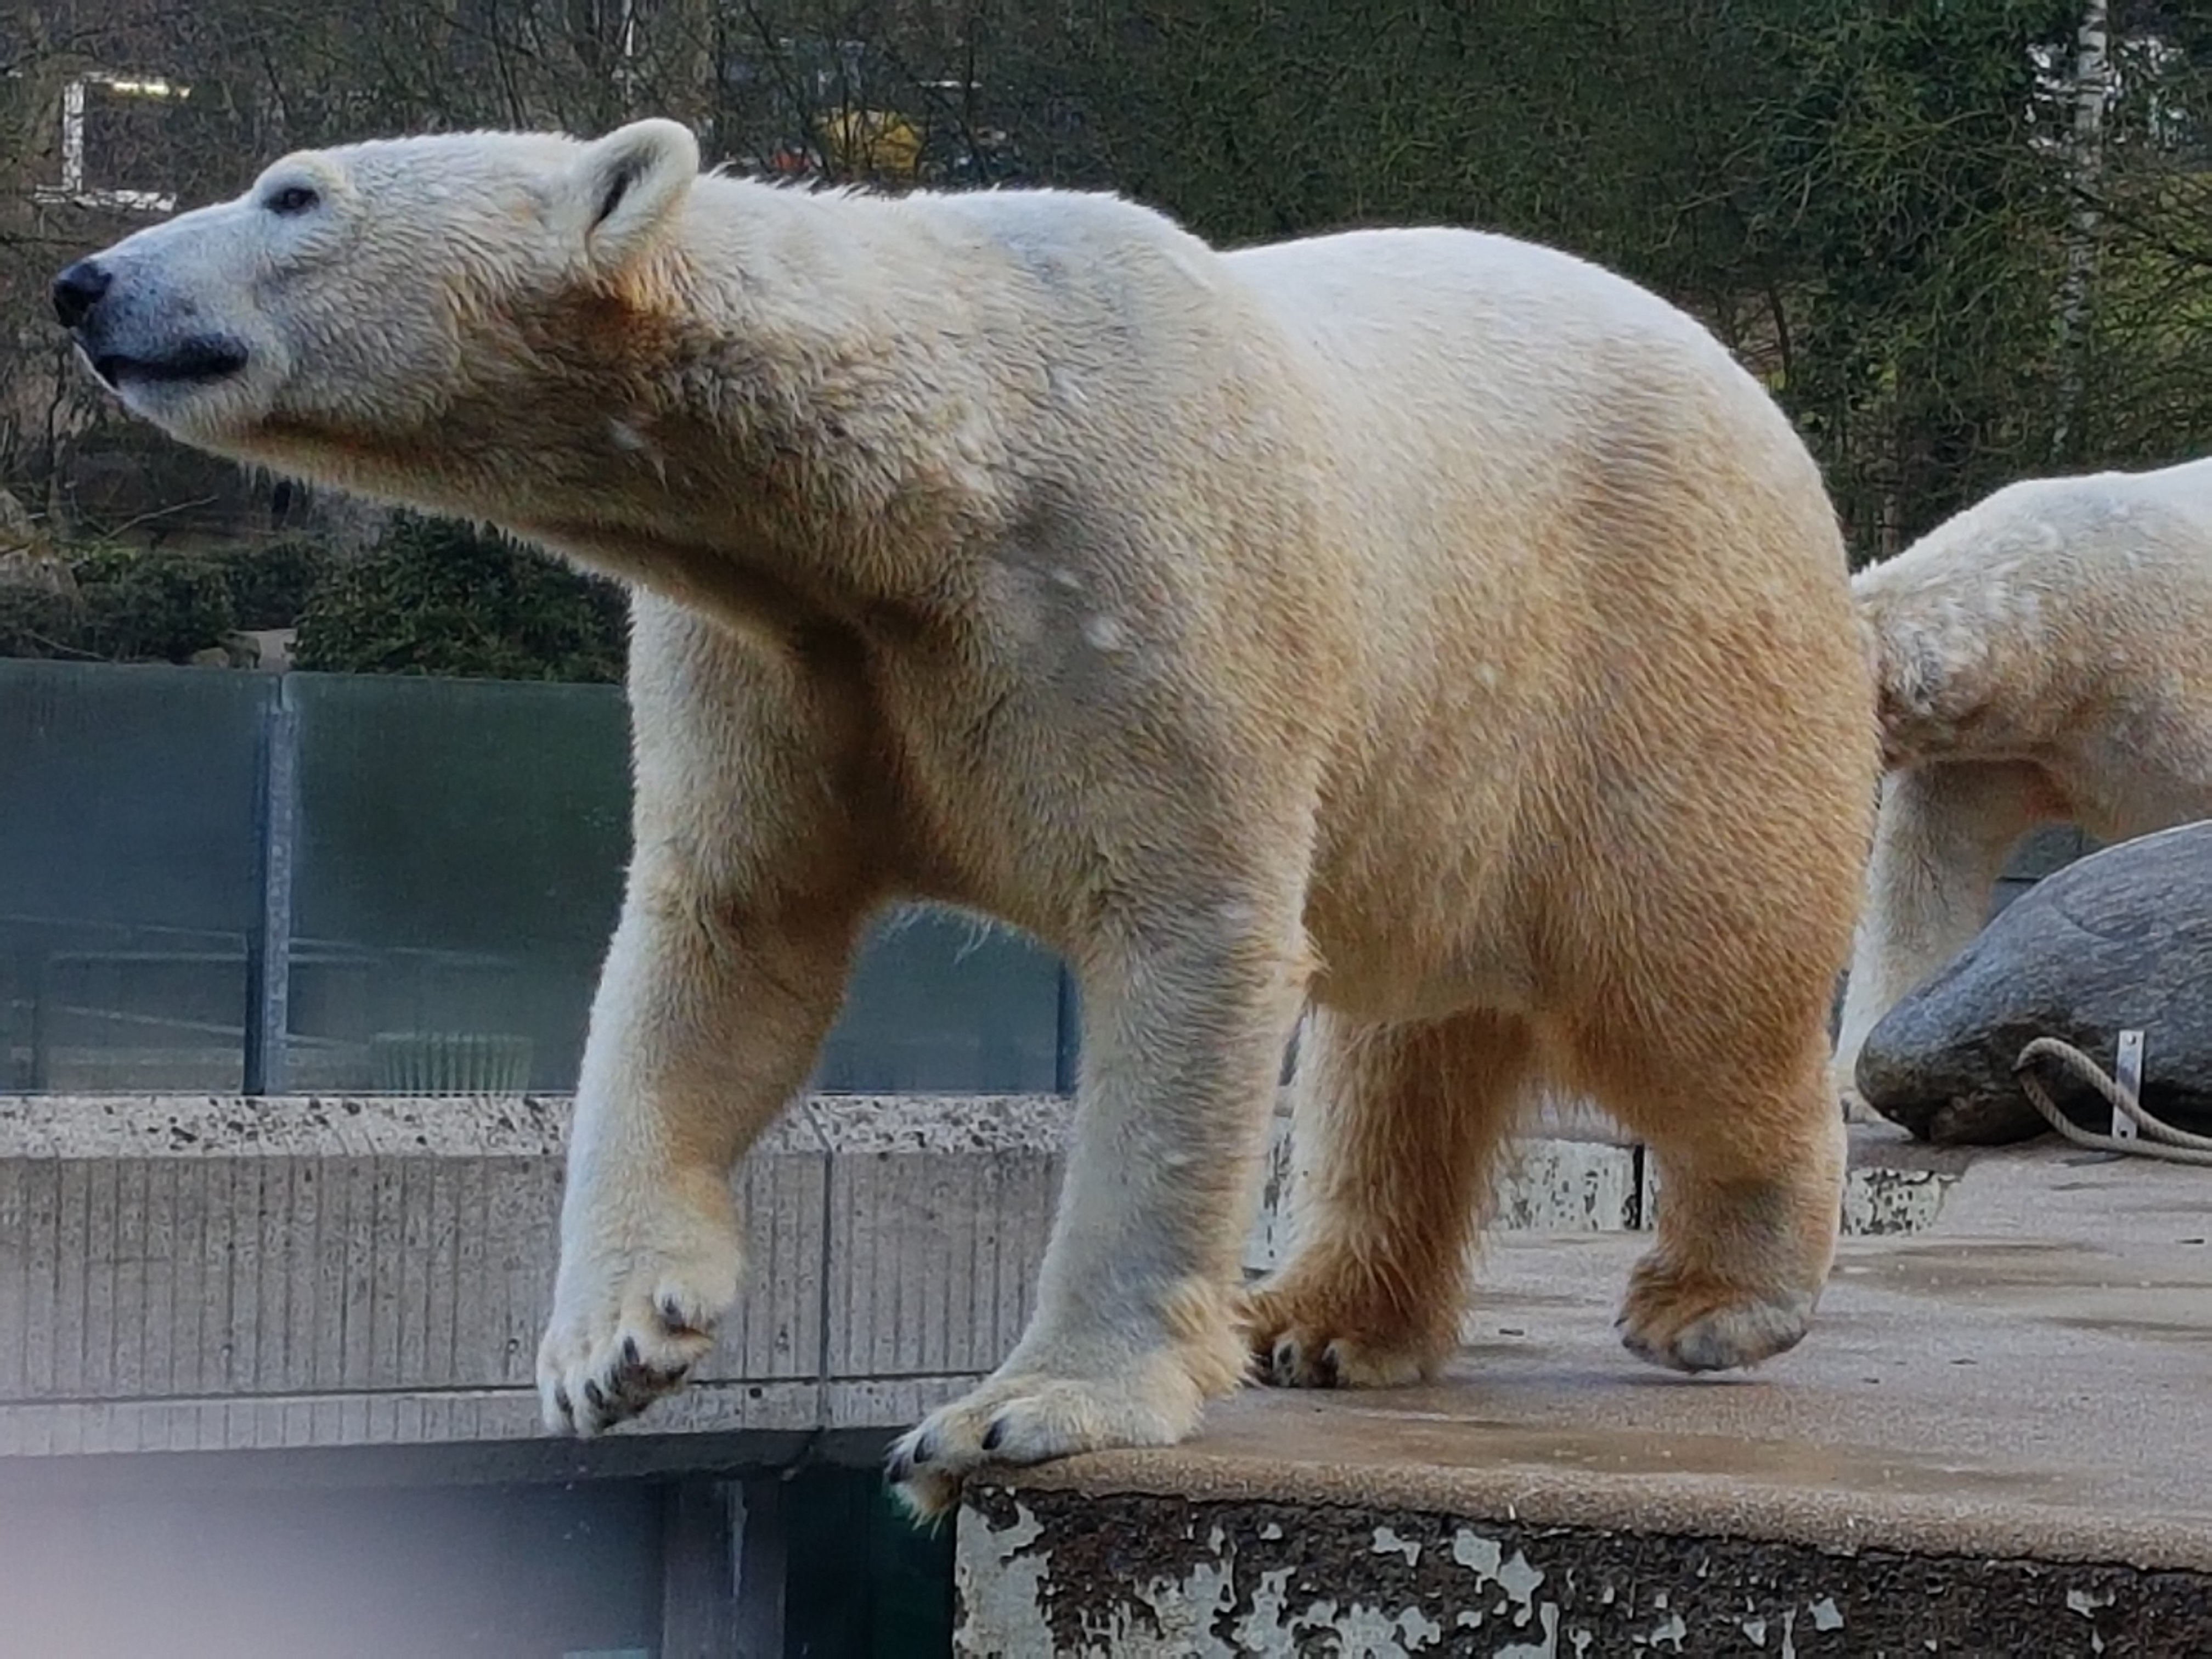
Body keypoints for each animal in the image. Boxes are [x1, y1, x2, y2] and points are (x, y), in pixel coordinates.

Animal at [53, 118, 1878, 1521]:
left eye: (294, 194)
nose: (84, 284)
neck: (931, 466)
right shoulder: (778, 649)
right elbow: (723, 934)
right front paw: (612, 1345)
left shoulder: (1138, 594)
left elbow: (1188, 943)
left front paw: (1019, 1411)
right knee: (1412, 1032)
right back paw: (1323, 1319)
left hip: (1652, 654)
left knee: (1688, 985)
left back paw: (1718, 1298)